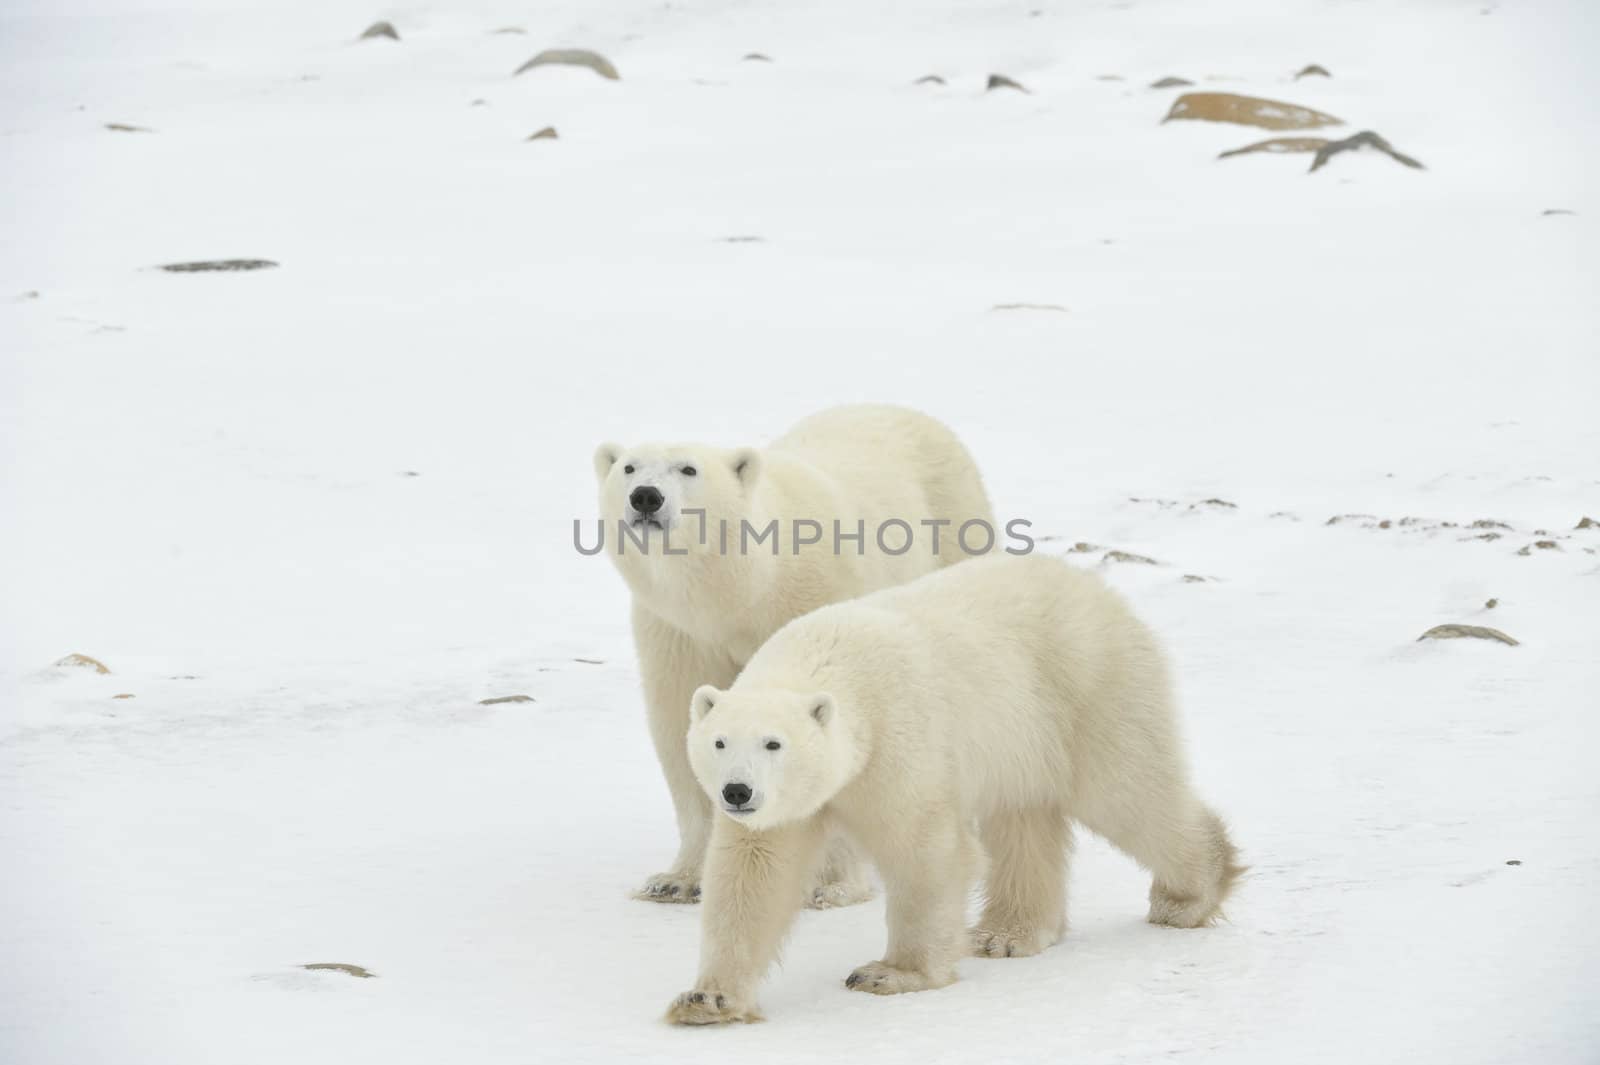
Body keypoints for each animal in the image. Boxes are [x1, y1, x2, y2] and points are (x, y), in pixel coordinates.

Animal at [595, 406, 992, 901]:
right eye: (628, 467)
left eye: (688, 468)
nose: (645, 497)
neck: (746, 588)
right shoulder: (680, 630)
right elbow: (680, 722)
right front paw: (676, 880)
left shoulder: (813, 597)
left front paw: (832, 885)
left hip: (954, 528)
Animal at [662, 546, 1235, 1023]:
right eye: (719, 742)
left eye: (773, 744)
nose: (737, 792)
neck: (830, 662)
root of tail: (1101, 592)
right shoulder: (784, 808)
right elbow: (753, 875)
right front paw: (706, 998)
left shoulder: (896, 742)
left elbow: (925, 851)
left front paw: (891, 973)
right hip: (1023, 740)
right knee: (1025, 822)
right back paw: (1005, 934)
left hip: (1088, 688)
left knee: (1128, 791)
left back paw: (1189, 894)